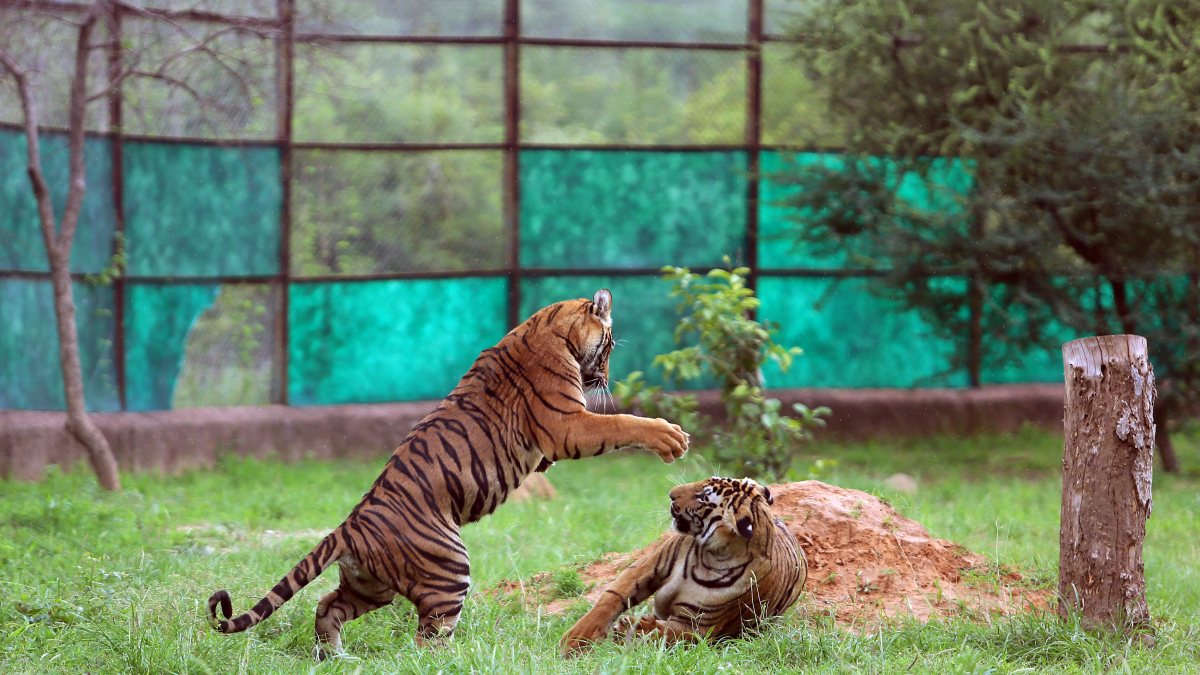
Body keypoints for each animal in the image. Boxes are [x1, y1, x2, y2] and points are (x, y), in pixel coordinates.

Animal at [206, 289, 689, 659]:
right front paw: (670, 437)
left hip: (370, 586)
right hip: (448, 570)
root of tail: (349, 526)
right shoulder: (568, 425)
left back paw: (338, 658)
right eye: (609, 346)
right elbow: (621, 423)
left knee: (327, 606)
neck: (551, 325)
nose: (604, 378)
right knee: (425, 643)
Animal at [560, 476, 807, 655]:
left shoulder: (700, 627)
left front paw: (633, 628)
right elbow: (611, 597)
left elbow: (670, 633)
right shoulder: (648, 567)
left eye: (704, 496)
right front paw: (575, 640)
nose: (670, 494)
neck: (713, 556)